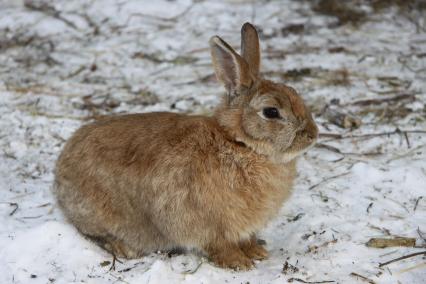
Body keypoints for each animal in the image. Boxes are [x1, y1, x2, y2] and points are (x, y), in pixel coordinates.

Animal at [53, 22, 318, 270]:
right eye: (271, 112)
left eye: (295, 92)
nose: (312, 134)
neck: (240, 144)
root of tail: (60, 173)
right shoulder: (209, 223)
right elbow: (220, 245)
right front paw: (239, 263)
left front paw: (256, 252)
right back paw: (122, 247)